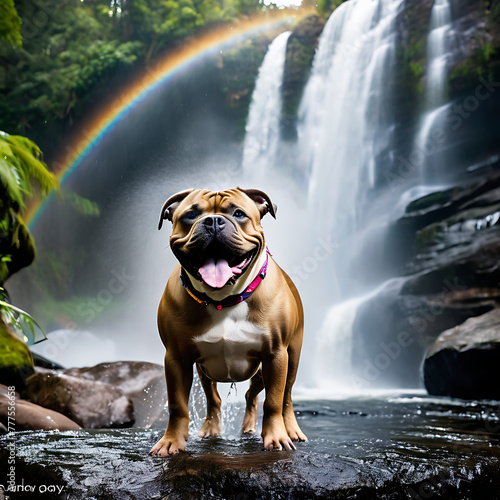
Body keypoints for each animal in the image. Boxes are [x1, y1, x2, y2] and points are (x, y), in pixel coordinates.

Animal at [149, 188, 304, 458]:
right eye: (191, 215)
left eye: (239, 214)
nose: (213, 221)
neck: (223, 299)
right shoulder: (176, 358)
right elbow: (178, 404)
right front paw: (171, 442)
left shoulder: (276, 355)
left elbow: (274, 401)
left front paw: (276, 437)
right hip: (205, 369)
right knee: (218, 398)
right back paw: (214, 429)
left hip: (289, 359)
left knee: (284, 396)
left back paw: (289, 429)